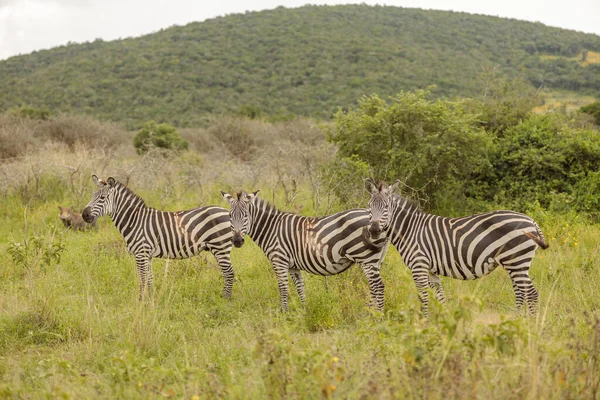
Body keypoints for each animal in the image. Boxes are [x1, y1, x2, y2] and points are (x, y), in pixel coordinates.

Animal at [81, 175, 234, 300]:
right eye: (92, 195)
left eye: (102, 198)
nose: (84, 215)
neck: (134, 220)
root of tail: (227, 211)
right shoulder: (147, 254)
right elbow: (149, 278)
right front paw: (151, 298)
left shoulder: (141, 252)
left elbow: (142, 278)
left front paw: (141, 301)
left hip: (220, 246)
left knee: (229, 272)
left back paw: (225, 299)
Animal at [220, 189, 390, 310]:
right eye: (230, 216)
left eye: (245, 216)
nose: (237, 241)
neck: (272, 228)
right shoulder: (293, 266)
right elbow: (300, 287)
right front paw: (304, 309)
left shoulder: (279, 260)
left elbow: (283, 287)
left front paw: (284, 312)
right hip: (375, 260)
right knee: (374, 286)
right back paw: (369, 311)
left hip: (365, 257)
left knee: (378, 286)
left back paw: (377, 316)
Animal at [360, 179, 548, 316]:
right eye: (369, 207)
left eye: (386, 207)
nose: (374, 230)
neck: (410, 230)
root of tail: (531, 220)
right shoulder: (431, 270)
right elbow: (440, 297)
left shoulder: (419, 266)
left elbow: (423, 297)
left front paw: (423, 323)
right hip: (515, 263)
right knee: (522, 292)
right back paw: (519, 319)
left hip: (516, 261)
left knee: (531, 293)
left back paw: (528, 323)